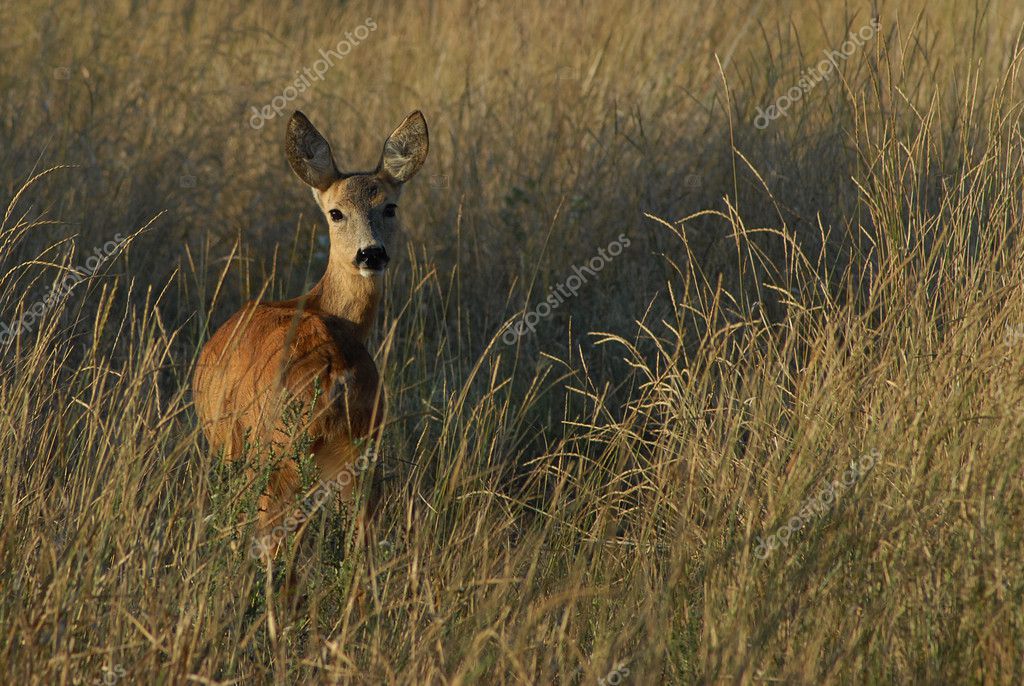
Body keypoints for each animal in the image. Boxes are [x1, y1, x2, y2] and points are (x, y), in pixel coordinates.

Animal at [192, 109, 428, 556]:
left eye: (389, 207)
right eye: (336, 212)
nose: (371, 254)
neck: (320, 306)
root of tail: (334, 373)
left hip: (276, 452)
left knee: (270, 541)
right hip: (359, 453)